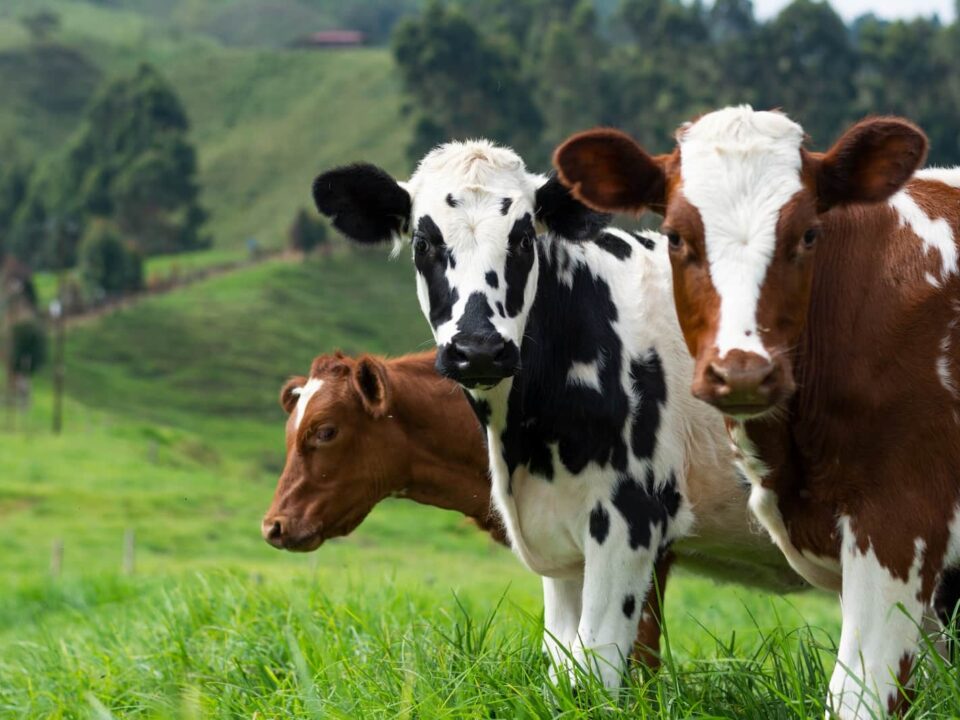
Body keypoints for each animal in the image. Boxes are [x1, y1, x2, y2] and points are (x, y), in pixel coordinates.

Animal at [309, 141, 804, 687]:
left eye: (524, 238)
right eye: (423, 242)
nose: (478, 350)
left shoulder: (632, 520)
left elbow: (596, 666)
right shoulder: (561, 544)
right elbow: (562, 664)